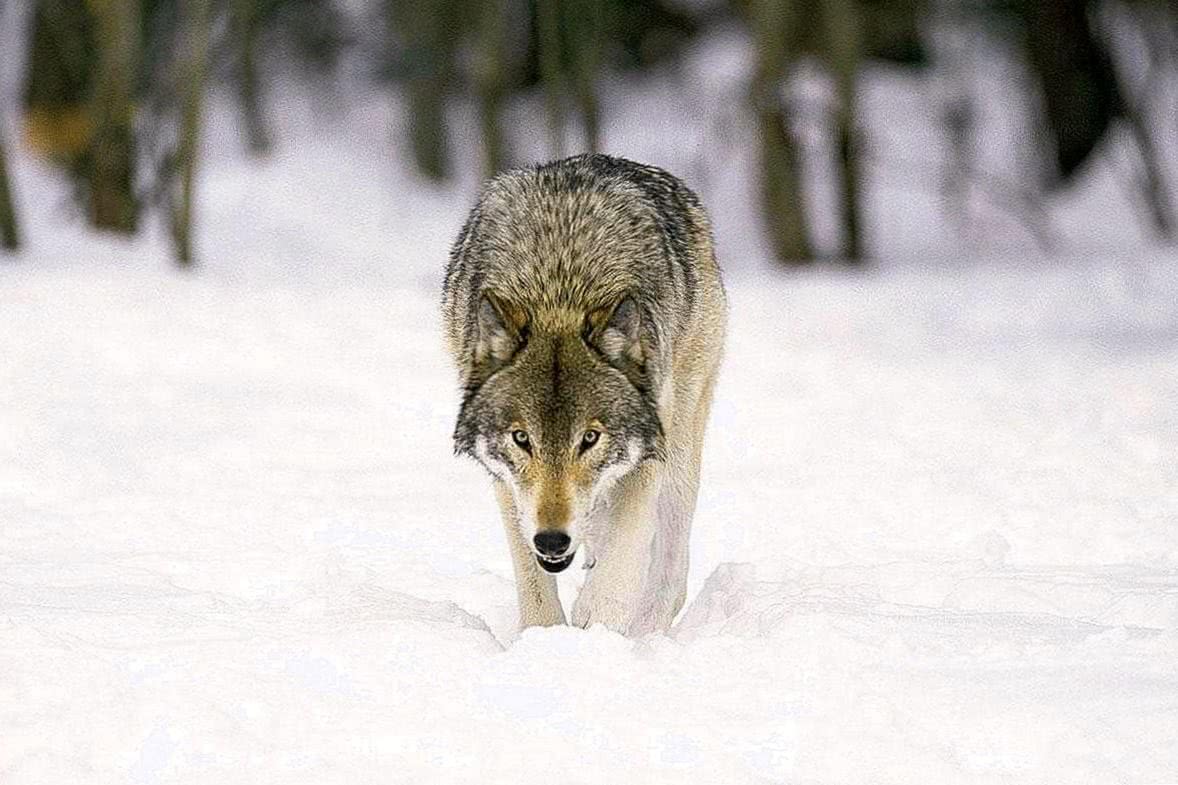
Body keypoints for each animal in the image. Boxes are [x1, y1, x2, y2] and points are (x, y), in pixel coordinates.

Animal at [442, 153, 726, 636]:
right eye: (522, 439)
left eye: (589, 438)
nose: (553, 539)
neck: (560, 287)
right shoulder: (509, 484)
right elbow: (534, 585)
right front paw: (547, 640)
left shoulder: (650, 449)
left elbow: (618, 573)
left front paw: (596, 636)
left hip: (682, 443)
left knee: (669, 570)